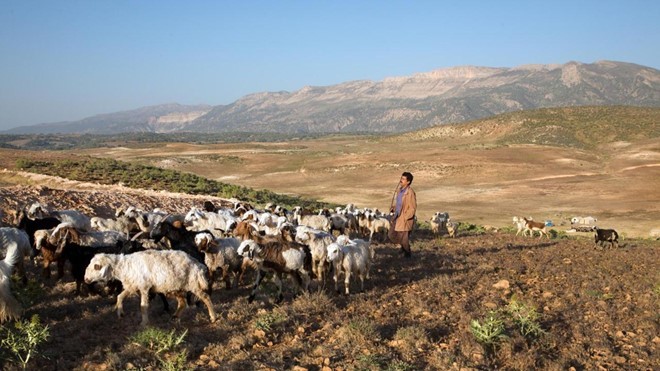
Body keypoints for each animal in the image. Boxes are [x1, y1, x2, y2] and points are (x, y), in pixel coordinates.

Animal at [84, 250, 218, 326]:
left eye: (97, 266)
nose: (86, 279)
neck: (125, 267)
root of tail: (198, 264)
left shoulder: (144, 287)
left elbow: (143, 307)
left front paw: (144, 323)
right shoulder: (132, 285)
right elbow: (120, 297)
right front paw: (120, 313)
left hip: (193, 284)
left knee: (206, 298)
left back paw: (213, 317)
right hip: (176, 287)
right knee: (182, 302)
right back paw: (174, 317)